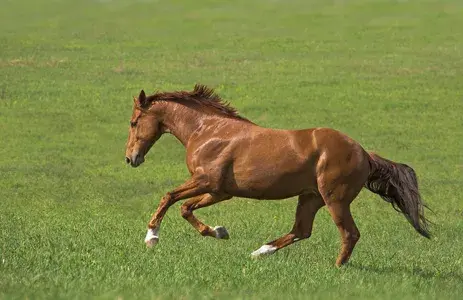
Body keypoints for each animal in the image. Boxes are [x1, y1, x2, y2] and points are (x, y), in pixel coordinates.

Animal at [124, 83, 432, 266]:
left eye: (133, 121)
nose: (130, 158)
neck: (208, 132)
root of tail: (365, 154)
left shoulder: (206, 182)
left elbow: (169, 197)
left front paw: (151, 237)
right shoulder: (219, 191)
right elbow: (186, 208)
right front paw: (219, 232)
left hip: (335, 199)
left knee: (349, 233)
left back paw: (337, 268)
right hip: (310, 197)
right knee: (302, 230)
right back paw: (260, 251)